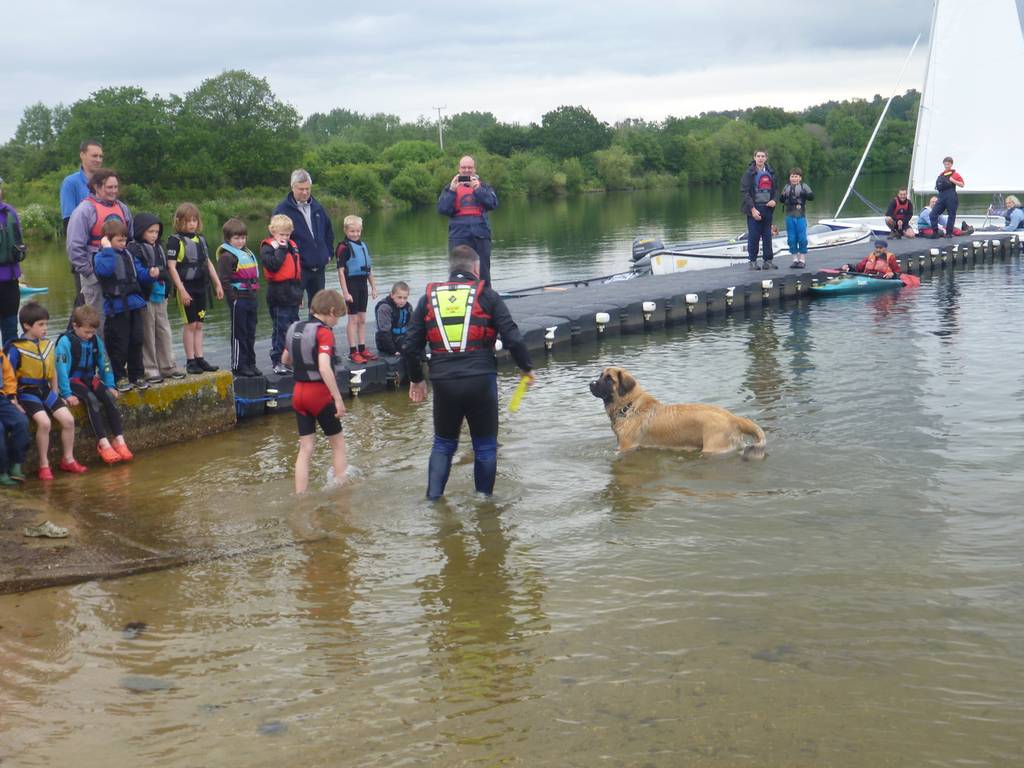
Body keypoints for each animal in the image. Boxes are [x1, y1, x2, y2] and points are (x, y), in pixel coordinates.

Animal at [589, 364, 765, 456]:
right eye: (600, 375)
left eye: (609, 379)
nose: (591, 384)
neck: (629, 405)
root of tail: (733, 418)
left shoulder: (626, 447)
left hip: (713, 447)